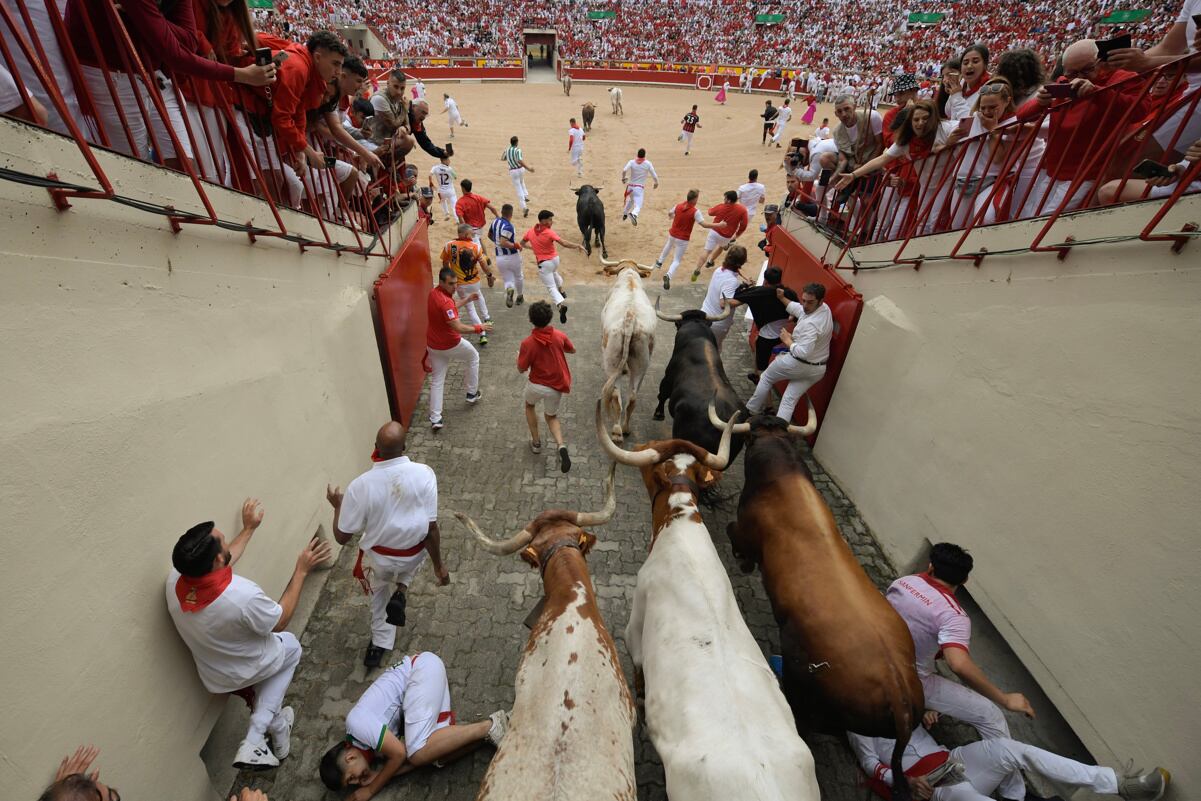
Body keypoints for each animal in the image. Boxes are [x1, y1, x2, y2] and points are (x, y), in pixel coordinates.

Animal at [593, 260, 653, 441]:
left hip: (611, 359)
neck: (629, 275)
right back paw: (625, 428)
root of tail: (630, 317)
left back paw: (617, 430)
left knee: (615, 395)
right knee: (632, 397)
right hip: (642, 362)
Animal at [710, 408, 927, 801]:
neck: (781, 475)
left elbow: (737, 538)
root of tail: (899, 693)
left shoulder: (744, 533)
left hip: (806, 689)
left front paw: (743, 564)